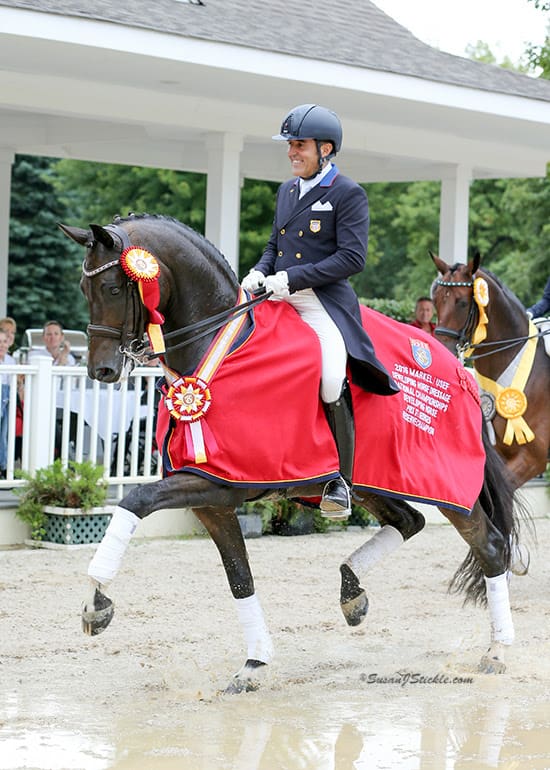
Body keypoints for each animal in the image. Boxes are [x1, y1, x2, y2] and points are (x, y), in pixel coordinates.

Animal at [59, 214, 525, 690]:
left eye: (114, 289)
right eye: (82, 288)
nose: (101, 370)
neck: (218, 346)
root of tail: (462, 371)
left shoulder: (215, 485)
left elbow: (134, 501)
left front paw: (97, 603)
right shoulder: (214, 498)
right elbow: (239, 578)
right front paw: (255, 662)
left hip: (447, 488)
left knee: (489, 546)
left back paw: (497, 651)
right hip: (372, 482)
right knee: (408, 520)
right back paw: (352, 593)